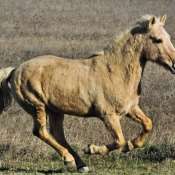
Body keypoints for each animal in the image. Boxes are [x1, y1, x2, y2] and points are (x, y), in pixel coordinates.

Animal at [0, 14, 175, 173]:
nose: (174, 64)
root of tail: (15, 70)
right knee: (41, 132)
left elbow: (148, 124)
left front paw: (130, 145)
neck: (115, 72)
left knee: (57, 134)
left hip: (55, 110)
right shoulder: (108, 115)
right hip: (37, 107)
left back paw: (81, 164)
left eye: (168, 37)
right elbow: (119, 140)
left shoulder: (130, 108)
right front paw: (93, 149)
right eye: (158, 40)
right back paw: (69, 159)